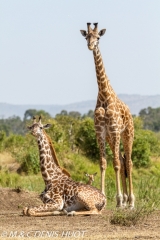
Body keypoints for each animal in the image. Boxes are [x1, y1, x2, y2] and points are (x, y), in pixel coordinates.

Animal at [80, 23, 134, 209]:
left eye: (98, 37)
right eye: (86, 36)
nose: (90, 46)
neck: (104, 94)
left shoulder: (116, 130)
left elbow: (115, 164)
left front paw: (119, 200)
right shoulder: (101, 132)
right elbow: (103, 163)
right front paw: (103, 196)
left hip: (127, 134)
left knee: (128, 161)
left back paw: (130, 202)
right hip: (112, 138)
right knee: (123, 161)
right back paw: (126, 199)